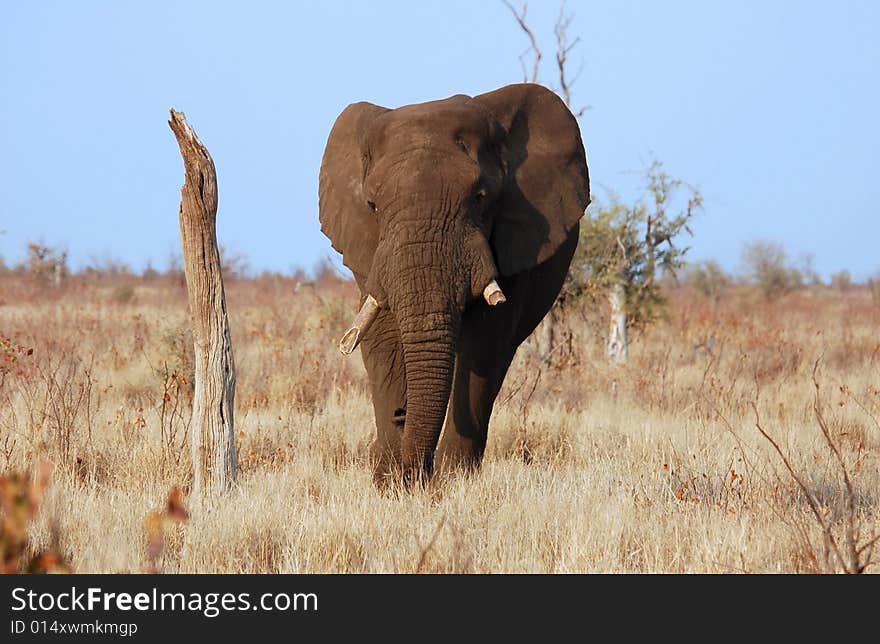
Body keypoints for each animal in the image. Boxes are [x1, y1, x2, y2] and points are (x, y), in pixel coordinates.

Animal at [318, 84, 592, 488]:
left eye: (480, 197)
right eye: (372, 205)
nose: (417, 475)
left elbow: (485, 343)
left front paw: (452, 482)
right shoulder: (367, 248)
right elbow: (382, 337)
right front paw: (390, 483)